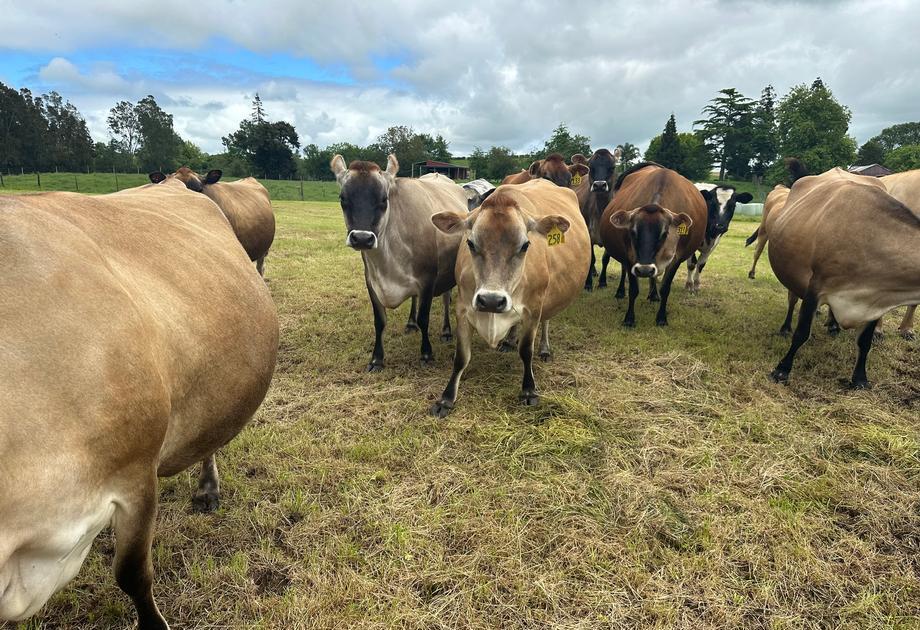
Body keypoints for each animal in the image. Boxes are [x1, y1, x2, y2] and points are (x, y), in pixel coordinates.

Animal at [331, 154, 467, 371]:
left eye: (383, 199)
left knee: (446, 298)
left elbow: (424, 318)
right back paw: (410, 324)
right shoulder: (371, 281)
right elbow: (379, 321)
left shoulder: (429, 279)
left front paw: (426, 353)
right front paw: (377, 359)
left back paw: (446, 331)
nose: (362, 238)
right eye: (343, 198)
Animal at [427, 179, 590, 417]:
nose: (491, 300)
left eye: (525, 245)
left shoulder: (533, 308)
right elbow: (461, 357)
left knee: (546, 321)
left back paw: (544, 349)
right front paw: (446, 399)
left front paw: (529, 390)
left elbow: (526, 351)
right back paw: (509, 340)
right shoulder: (463, 308)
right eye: (471, 243)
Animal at [574, 148, 622, 291]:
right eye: (590, 167)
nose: (599, 185)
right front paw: (588, 284)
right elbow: (592, 258)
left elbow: (605, 258)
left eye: (612, 167)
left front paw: (602, 282)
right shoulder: (588, 234)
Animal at [599, 163, 706, 327]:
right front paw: (629, 318)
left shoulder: (676, 259)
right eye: (632, 232)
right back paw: (621, 292)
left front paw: (661, 317)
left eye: (665, 234)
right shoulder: (630, 258)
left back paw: (653, 295)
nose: (644, 270)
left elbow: (665, 288)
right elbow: (633, 289)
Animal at [766, 166, 920, 387]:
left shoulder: (877, 300)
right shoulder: (815, 286)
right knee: (792, 300)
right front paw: (782, 370)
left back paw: (833, 324)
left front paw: (860, 378)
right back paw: (786, 327)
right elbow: (802, 332)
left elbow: (865, 342)